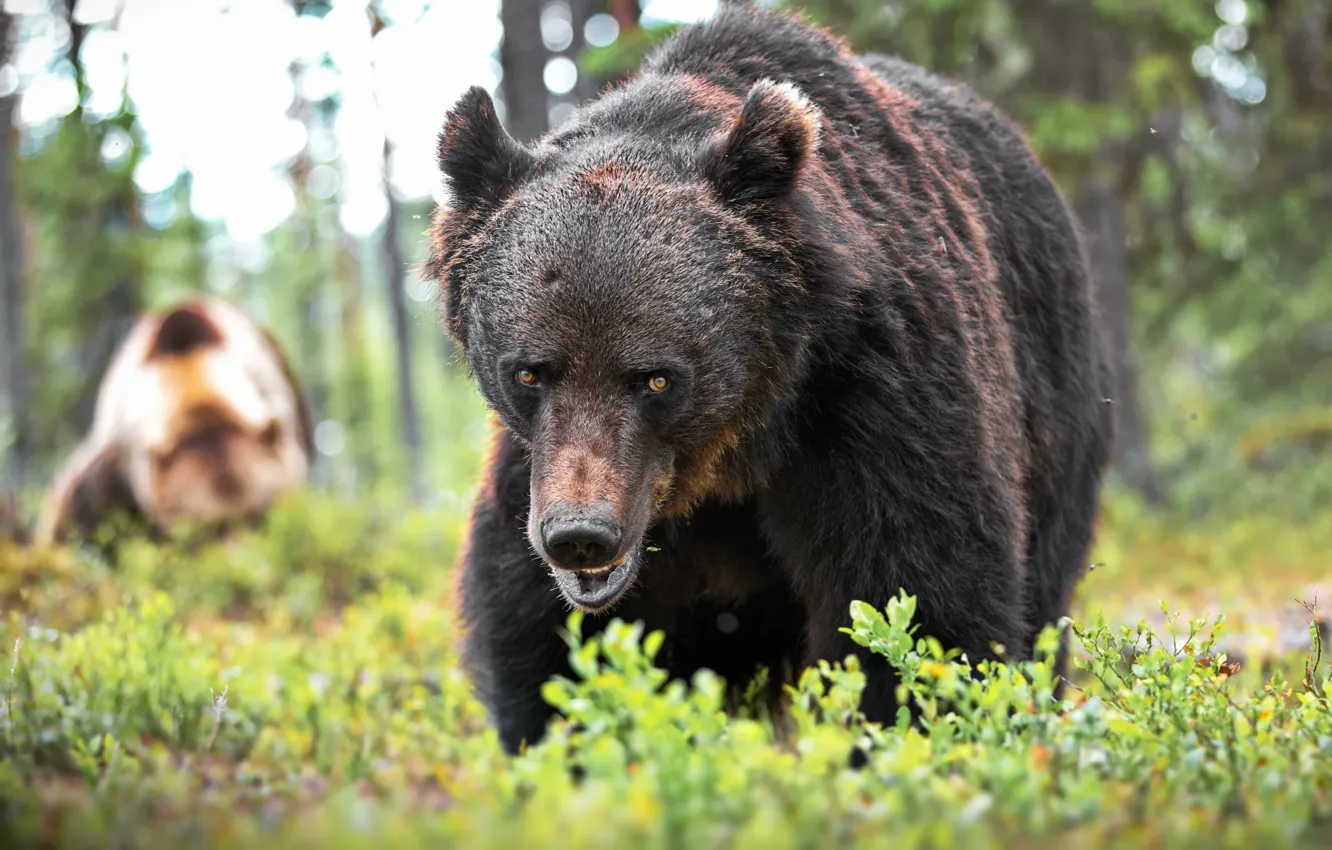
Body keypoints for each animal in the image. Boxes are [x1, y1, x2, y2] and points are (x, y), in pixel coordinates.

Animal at [423, 0, 1113, 756]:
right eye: (530, 372)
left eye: (656, 379)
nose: (581, 534)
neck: (741, 442)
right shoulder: (535, 468)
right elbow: (536, 632)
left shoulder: (878, 396)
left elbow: (918, 602)